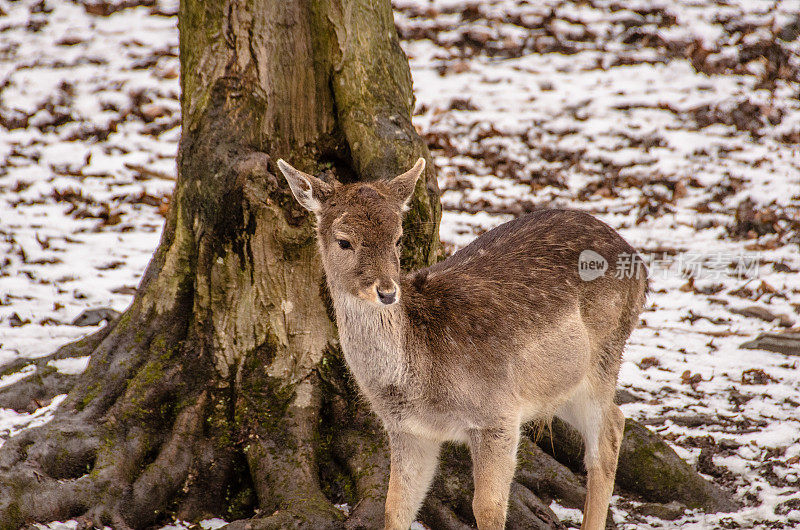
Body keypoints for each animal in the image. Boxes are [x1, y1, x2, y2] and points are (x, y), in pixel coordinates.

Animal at [278, 157, 648, 528]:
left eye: (398, 238)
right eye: (343, 241)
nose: (387, 291)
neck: (419, 382)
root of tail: (641, 266)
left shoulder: (498, 414)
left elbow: (487, 508)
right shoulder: (408, 431)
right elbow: (395, 507)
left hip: (603, 357)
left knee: (608, 434)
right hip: (560, 384)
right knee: (616, 419)